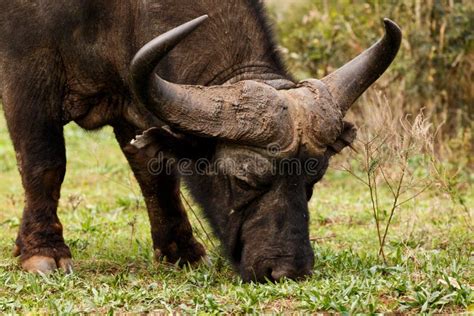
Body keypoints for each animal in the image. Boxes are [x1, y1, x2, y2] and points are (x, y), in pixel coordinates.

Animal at [0, 0, 400, 282]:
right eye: (244, 180)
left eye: (312, 181)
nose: (288, 270)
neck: (114, 12)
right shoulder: (25, 77)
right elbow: (45, 163)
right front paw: (42, 251)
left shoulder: (133, 98)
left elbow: (155, 173)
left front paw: (181, 250)